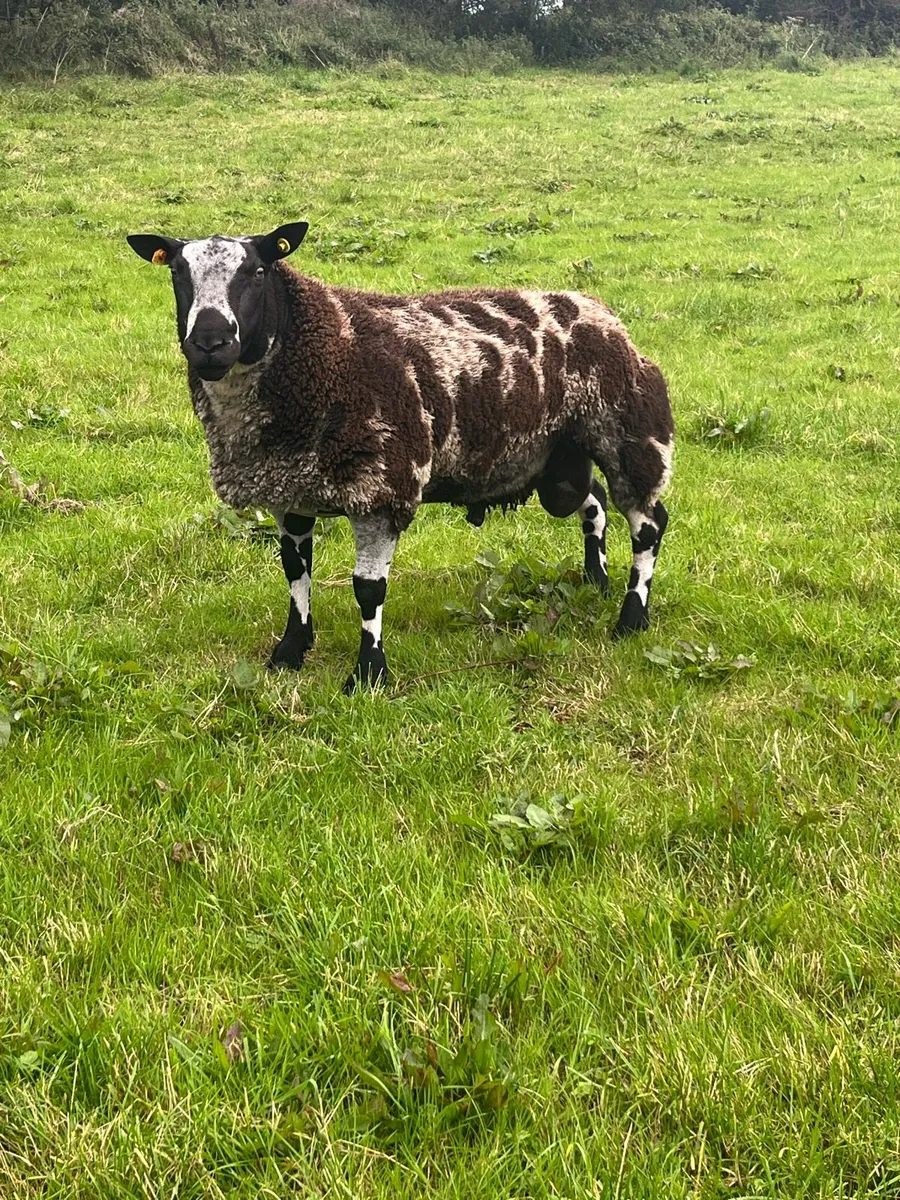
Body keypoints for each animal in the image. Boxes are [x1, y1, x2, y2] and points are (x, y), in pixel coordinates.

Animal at [127, 221, 674, 692]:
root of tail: (597, 309)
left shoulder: (382, 486)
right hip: (557, 451)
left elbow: (368, 589)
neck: (326, 348)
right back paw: (596, 580)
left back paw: (631, 618)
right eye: (176, 272)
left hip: (629, 430)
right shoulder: (292, 491)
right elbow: (295, 570)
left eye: (258, 270)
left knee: (648, 523)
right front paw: (291, 650)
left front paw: (368, 674)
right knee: (593, 501)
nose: (210, 343)